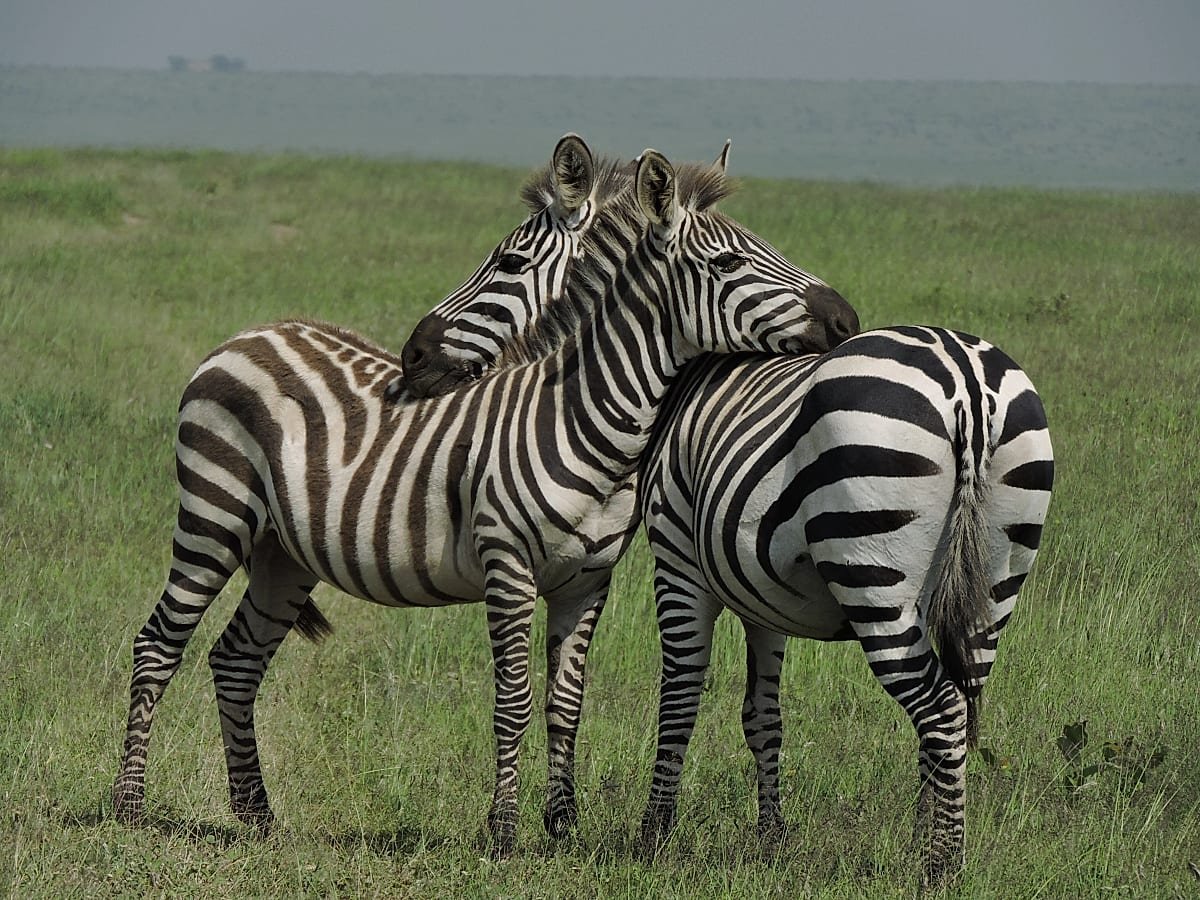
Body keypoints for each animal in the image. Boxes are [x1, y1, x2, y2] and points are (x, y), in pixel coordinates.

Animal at [111, 137, 859, 855]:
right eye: (730, 262)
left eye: (508, 262)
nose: (847, 317)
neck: (584, 420)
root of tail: (251, 333)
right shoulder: (508, 568)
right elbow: (513, 702)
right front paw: (502, 831)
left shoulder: (588, 581)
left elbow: (566, 705)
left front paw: (562, 828)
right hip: (214, 515)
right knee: (158, 645)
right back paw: (129, 807)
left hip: (281, 553)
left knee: (236, 660)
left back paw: (257, 815)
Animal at [398, 160, 1052, 884]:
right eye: (736, 255)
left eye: (508, 263)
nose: (413, 355)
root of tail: (966, 379)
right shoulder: (765, 590)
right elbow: (763, 716)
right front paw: (771, 838)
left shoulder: (678, 561)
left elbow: (680, 695)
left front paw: (652, 835)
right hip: (996, 573)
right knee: (963, 702)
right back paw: (923, 839)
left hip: (874, 573)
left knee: (939, 709)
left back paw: (941, 864)